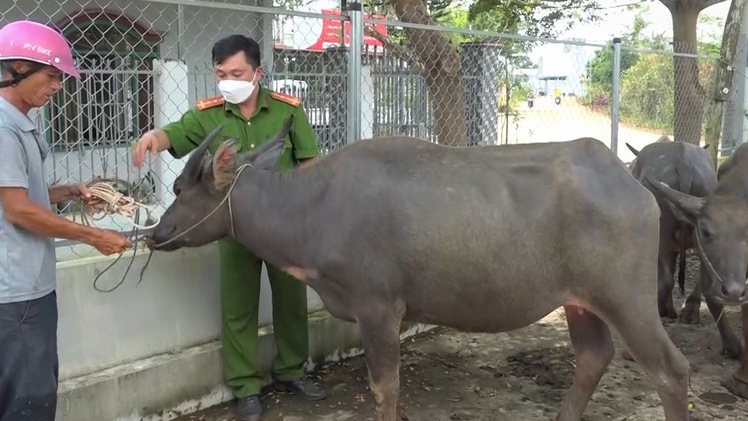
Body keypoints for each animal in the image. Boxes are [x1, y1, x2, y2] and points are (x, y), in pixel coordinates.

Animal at [146, 118, 688, 420]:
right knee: (594, 357)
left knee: (671, 369)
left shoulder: (377, 308)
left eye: (180, 189)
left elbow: (383, 389)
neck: (315, 207)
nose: (155, 233)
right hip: (580, 302)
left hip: (628, 299)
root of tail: (632, 184)